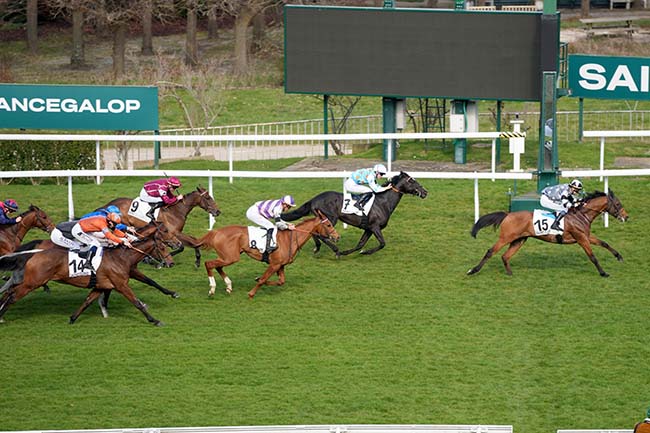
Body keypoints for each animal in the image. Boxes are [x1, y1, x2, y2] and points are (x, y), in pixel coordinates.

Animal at [0, 223, 182, 325]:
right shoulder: (121, 285)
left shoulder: (103, 284)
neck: (121, 256)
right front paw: (154, 320)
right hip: (32, 283)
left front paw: (73, 318)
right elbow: (136, 302)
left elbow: (87, 301)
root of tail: (35, 253)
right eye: (163, 244)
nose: (171, 261)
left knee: (9, 292)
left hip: (28, 280)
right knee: (12, 296)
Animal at [179, 211, 339, 299]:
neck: (291, 238)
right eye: (329, 225)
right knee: (209, 264)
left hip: (228, 257)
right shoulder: (274, 264)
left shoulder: (280, 265)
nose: (337, 237)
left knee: (217, 266)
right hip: (231, 257)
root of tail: (216, 232)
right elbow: (263, 279)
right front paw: (251, 293)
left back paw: (228, 286)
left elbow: (280, 281)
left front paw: (256, 280)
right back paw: (212, 289)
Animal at [281, 171, 428, 256]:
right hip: (330, 219)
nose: (425, 192)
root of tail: (313, 199)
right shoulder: (375, 226)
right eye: (412, 180)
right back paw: (334, 249)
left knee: (314, 232)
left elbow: (360, 245)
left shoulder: (368, 228)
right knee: (320, 234)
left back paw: (318, 248)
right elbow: (382, 243)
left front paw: (350, 252)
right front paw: (365, 252)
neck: (383, 202)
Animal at [467, 190, 628, 277]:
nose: (626, 217)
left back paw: (510, 274)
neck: (581, 214)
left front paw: (619, 256)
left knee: (505, 256)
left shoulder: (586, 236)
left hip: (519, 239)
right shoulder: (581, 238)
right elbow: (592, 256)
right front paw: (603, 273)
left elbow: (604, 243)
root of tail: (507, 214)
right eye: (618, 204)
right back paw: (473, 270)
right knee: (490, 251)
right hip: (506, 237)